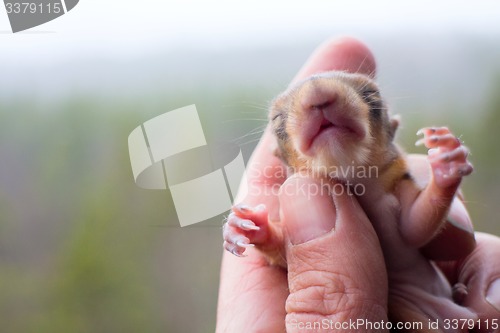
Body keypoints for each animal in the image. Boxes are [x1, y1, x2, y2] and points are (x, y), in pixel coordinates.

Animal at [223, 71, 476, 328]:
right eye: (276, 119)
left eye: (372, 95)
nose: (318, 93)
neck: (354, 179)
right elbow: (282, 251)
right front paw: (246, 227)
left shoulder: (395, 188)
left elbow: (415, 226)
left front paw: (447, 165)